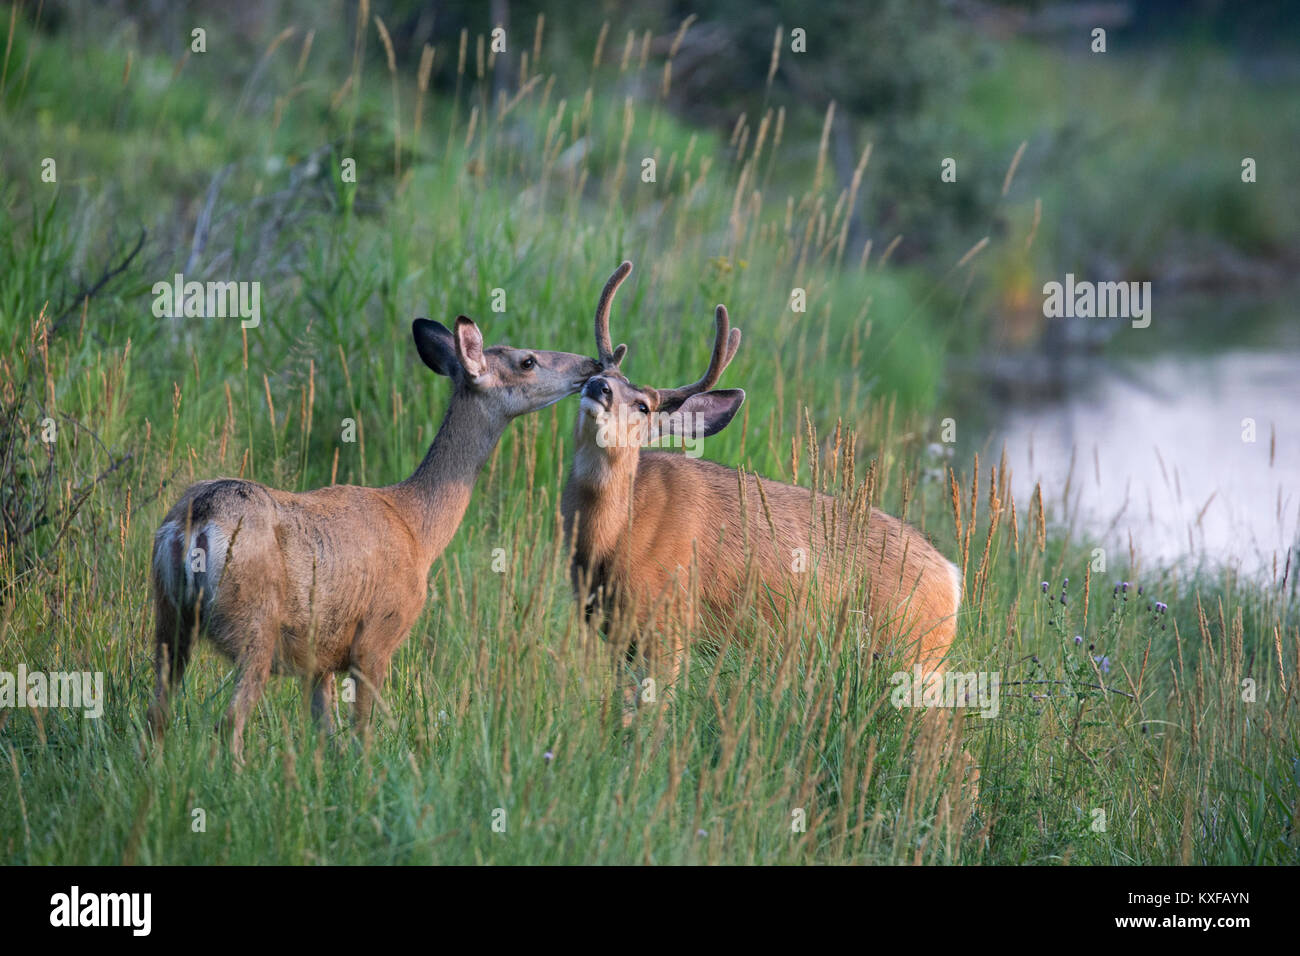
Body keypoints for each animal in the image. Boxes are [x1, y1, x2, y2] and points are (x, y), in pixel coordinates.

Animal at [148, 315, 601, 760]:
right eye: (527, 361)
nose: (591, 365)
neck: (418, 528)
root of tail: (197, 520)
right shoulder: (377, 635)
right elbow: (361, 736)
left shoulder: (320, 656)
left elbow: (326, 737)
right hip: (254, 625)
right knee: (228, 723)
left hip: (168, 617)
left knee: (158, 714)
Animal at [561, 262, 963, 720]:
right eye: (599, 374)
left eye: (644, 406)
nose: (598, 387)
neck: (611, 536)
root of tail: (951, 577)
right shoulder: (608, 627)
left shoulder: (669, 619)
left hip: (915, 653)